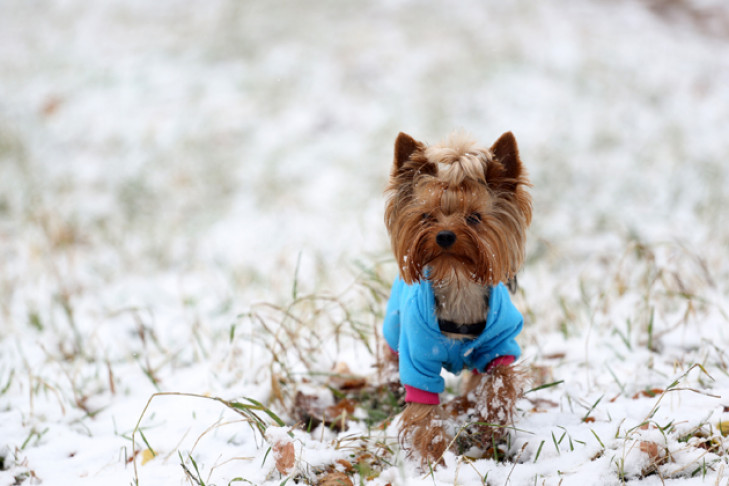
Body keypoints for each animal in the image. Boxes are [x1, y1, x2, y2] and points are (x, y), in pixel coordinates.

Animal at [382, 131, 528, 466]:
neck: (457, 278)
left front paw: (490, 422)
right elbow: (423, 411)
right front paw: (436, 458)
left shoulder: (500, 344)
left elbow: (500, 380)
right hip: (393, 328)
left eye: (474, 218)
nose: (445, 235)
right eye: (426, 216)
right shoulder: (417, 358)